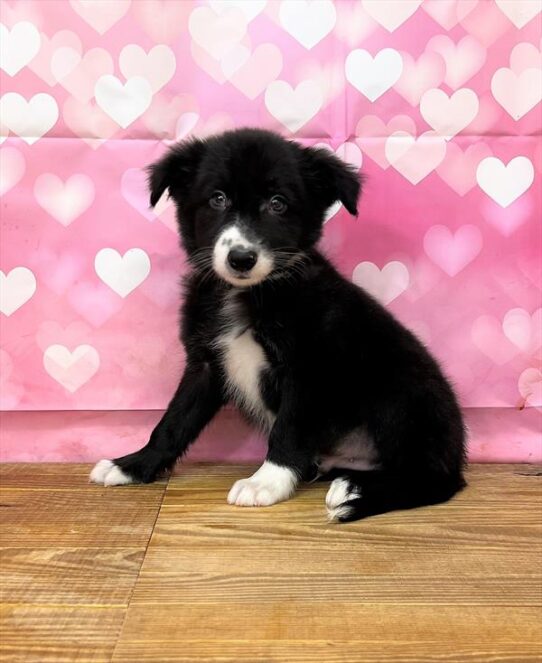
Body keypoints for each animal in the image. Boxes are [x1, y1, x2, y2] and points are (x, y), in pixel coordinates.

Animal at [91, 128, 470, 524]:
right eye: (217, 199)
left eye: (278, 203)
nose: (241, 258)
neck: (250, 294)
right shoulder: (206, 363)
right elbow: (174, 420)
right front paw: (132, 465)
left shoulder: (309, 369)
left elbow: (289, 428)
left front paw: (266, 482)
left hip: (400, 391)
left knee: (437, 479)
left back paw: (354, 493)